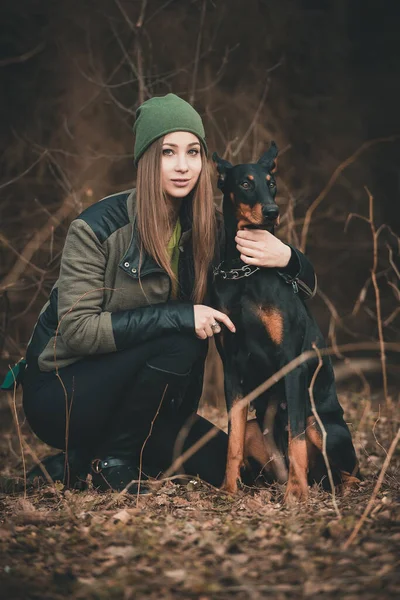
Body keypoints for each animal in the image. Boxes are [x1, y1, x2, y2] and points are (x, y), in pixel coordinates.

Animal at [212, 144, 360, 502]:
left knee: (347, 469)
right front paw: (228, 488)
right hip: (258, 429)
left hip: (321, 424)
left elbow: (296, 440)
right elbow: (232, 438)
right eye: (246, 183)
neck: (243, 272)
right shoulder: (231, 369)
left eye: (272, 184)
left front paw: (296, 493)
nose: (271, 212)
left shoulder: (292, 363)